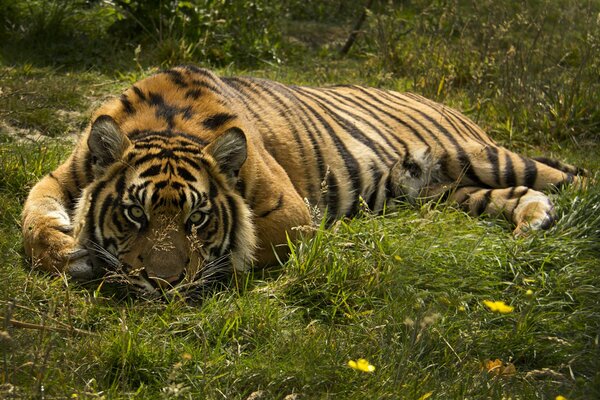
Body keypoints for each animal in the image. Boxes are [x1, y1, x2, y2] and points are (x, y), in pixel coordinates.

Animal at [22, 66, 584, 294]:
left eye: (197, 219)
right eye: (134, 213)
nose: (164, 283)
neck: (166, 124)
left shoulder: (289, 213)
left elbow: (244, 244)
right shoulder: (61, 174)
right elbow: (33, 215)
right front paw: (69, 252)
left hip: (480, 154)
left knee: (569, 175)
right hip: (448, 192)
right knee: (514, 194)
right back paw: (531, 225)